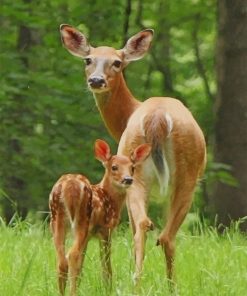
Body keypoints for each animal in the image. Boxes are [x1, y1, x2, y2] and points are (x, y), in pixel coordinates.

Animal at [49, 139, 151, 296]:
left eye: (132, 167)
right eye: (114, 167)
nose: (128, 179)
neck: (109, 198)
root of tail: (66, 186)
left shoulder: (89, 236)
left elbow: (81, 266)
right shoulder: (105, 229)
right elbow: (106, 267)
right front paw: (108, 289)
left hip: (56, 219)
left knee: (62, 261)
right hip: (81, 220)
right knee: (71, 255)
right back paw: (72, 293)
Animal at [59, 24, 206, 284]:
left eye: (117, 62)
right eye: (88, 59)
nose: (96, 80)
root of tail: (157, 117)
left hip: (142, 172)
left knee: (147, 228)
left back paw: (139, 282)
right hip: (180, 176)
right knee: (161, 233)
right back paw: (156, 284)